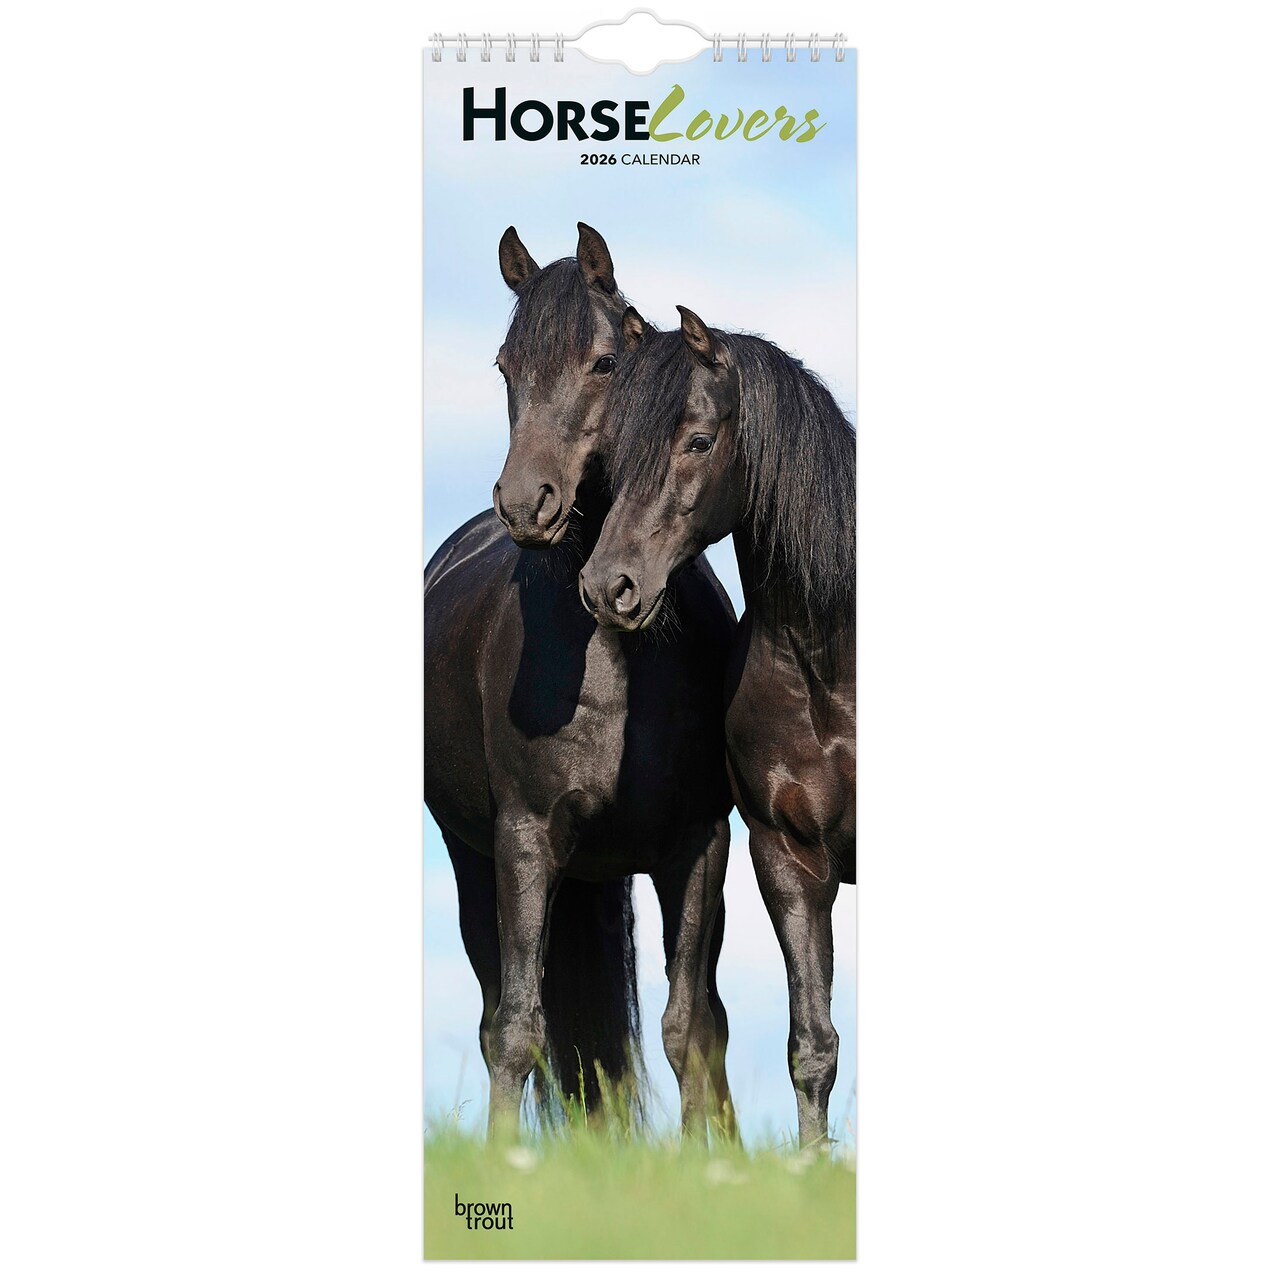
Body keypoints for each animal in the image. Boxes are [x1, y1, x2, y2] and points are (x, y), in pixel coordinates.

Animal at [424, 228, 739, 1141]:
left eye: (604, 363)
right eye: (505, 366)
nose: (526, 503)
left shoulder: (698, 845)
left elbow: (691, 1026)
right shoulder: (524, 843)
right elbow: (517, 1029)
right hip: (472, 860)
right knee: (499, 1011)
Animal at [579, 305, 856, 1148]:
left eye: (699, 441)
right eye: (616, 450)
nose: (609, 587)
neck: (829, 667)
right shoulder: (787, 858)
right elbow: (813, 1044)